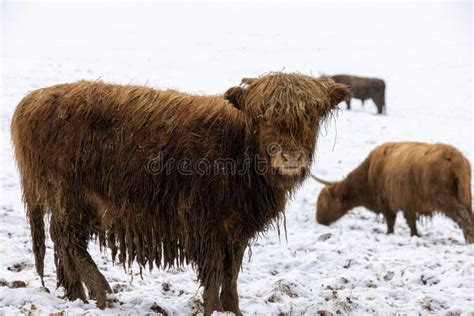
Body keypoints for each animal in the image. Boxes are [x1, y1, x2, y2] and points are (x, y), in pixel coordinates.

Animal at [12, 73, 352, 314]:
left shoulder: (236, 229)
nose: (290, 156)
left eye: (311, 115)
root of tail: (32, 100)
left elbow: (231, 274)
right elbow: (214, 275)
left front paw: (233, 310)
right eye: (263, 116)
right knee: (69, 239)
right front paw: (212, 310)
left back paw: (77, 294)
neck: (238, 149)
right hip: (70, 196)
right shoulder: (206, 224)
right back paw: (102, 293)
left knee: (62, 242)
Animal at [314, 142, 474, 243]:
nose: (318, 220)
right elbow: (411, 222)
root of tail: (454, 156)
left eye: (322, 202)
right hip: (466, 195)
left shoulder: (387, 202)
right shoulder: (408, 203)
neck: (368, 175)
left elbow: (391, 221)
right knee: (470, 214)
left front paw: (389, 234)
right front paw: (415, 235)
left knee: (462, 215)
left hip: (444, 198)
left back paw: (470, 239)